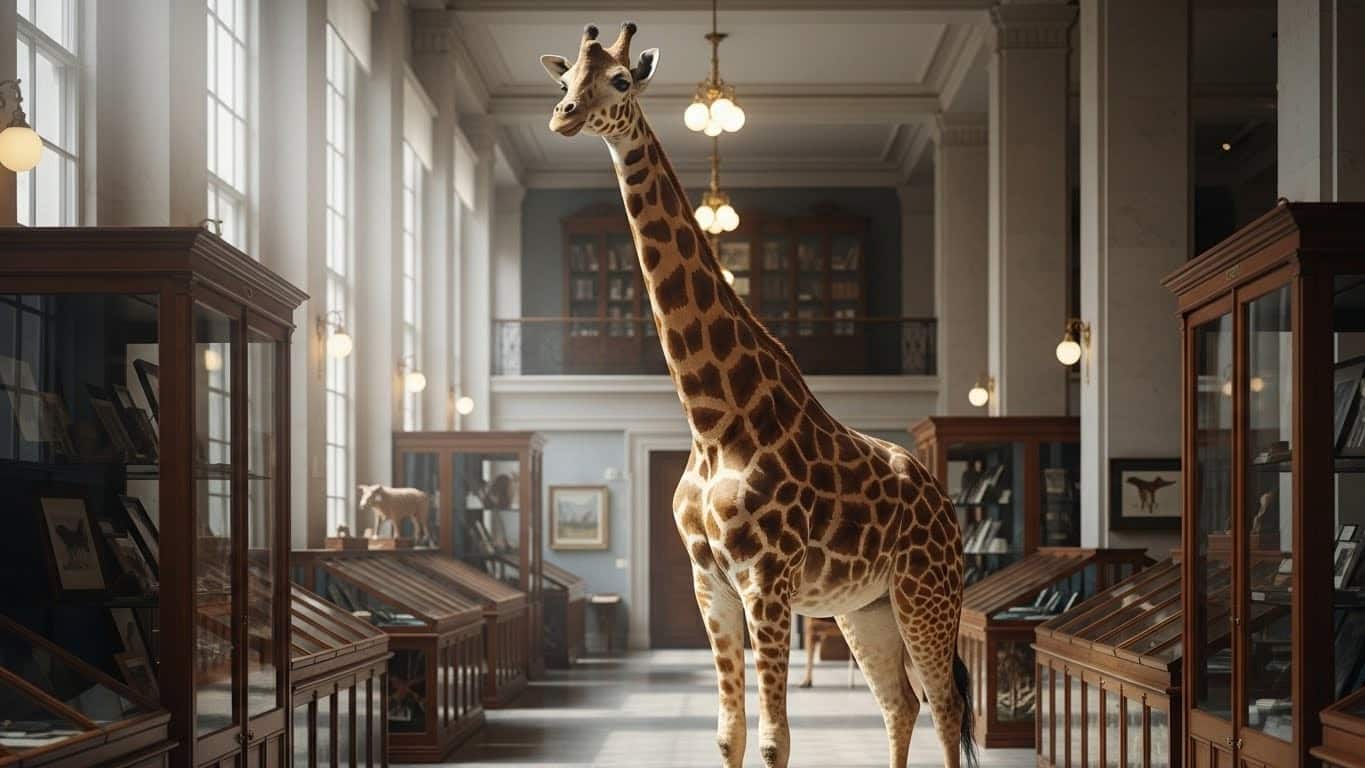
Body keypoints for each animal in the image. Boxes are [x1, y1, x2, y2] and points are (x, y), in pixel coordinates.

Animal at [542, 23, 976, 768]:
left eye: (621, 80)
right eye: (565, 77)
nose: (563, 116)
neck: (713, 418)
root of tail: (943, 503)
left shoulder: (766, 580)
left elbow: (775, 739)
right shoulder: (709, 582)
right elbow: (729, 731)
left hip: (926, 590)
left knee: (945, 708)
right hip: (864, 607)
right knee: (900, 703)